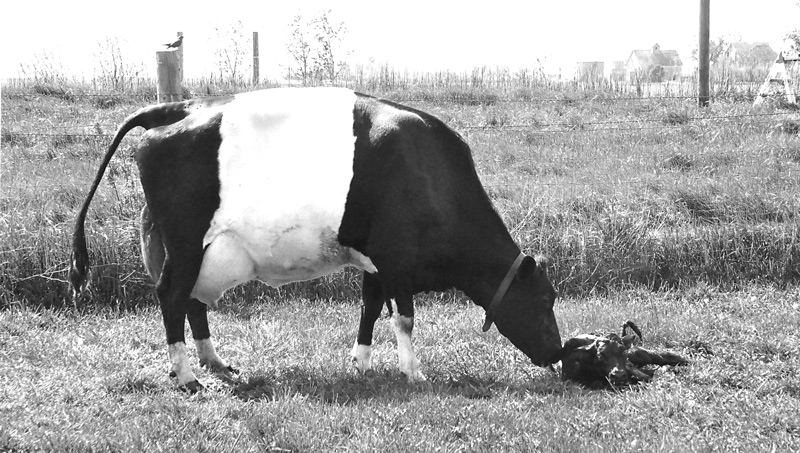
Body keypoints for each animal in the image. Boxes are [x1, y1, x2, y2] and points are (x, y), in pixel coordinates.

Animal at [69, 87, 562, 392]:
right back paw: (189, 377)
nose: (558, 352)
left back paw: (216, 363)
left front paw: (361, 364)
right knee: (172, 297)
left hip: (197, 248)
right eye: (545, 300)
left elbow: (369, 310)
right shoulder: (397, 259)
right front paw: (414, 372)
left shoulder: (374, 261)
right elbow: (404, 318)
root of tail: (182, 106)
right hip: (186, 242)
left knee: (191, 300)